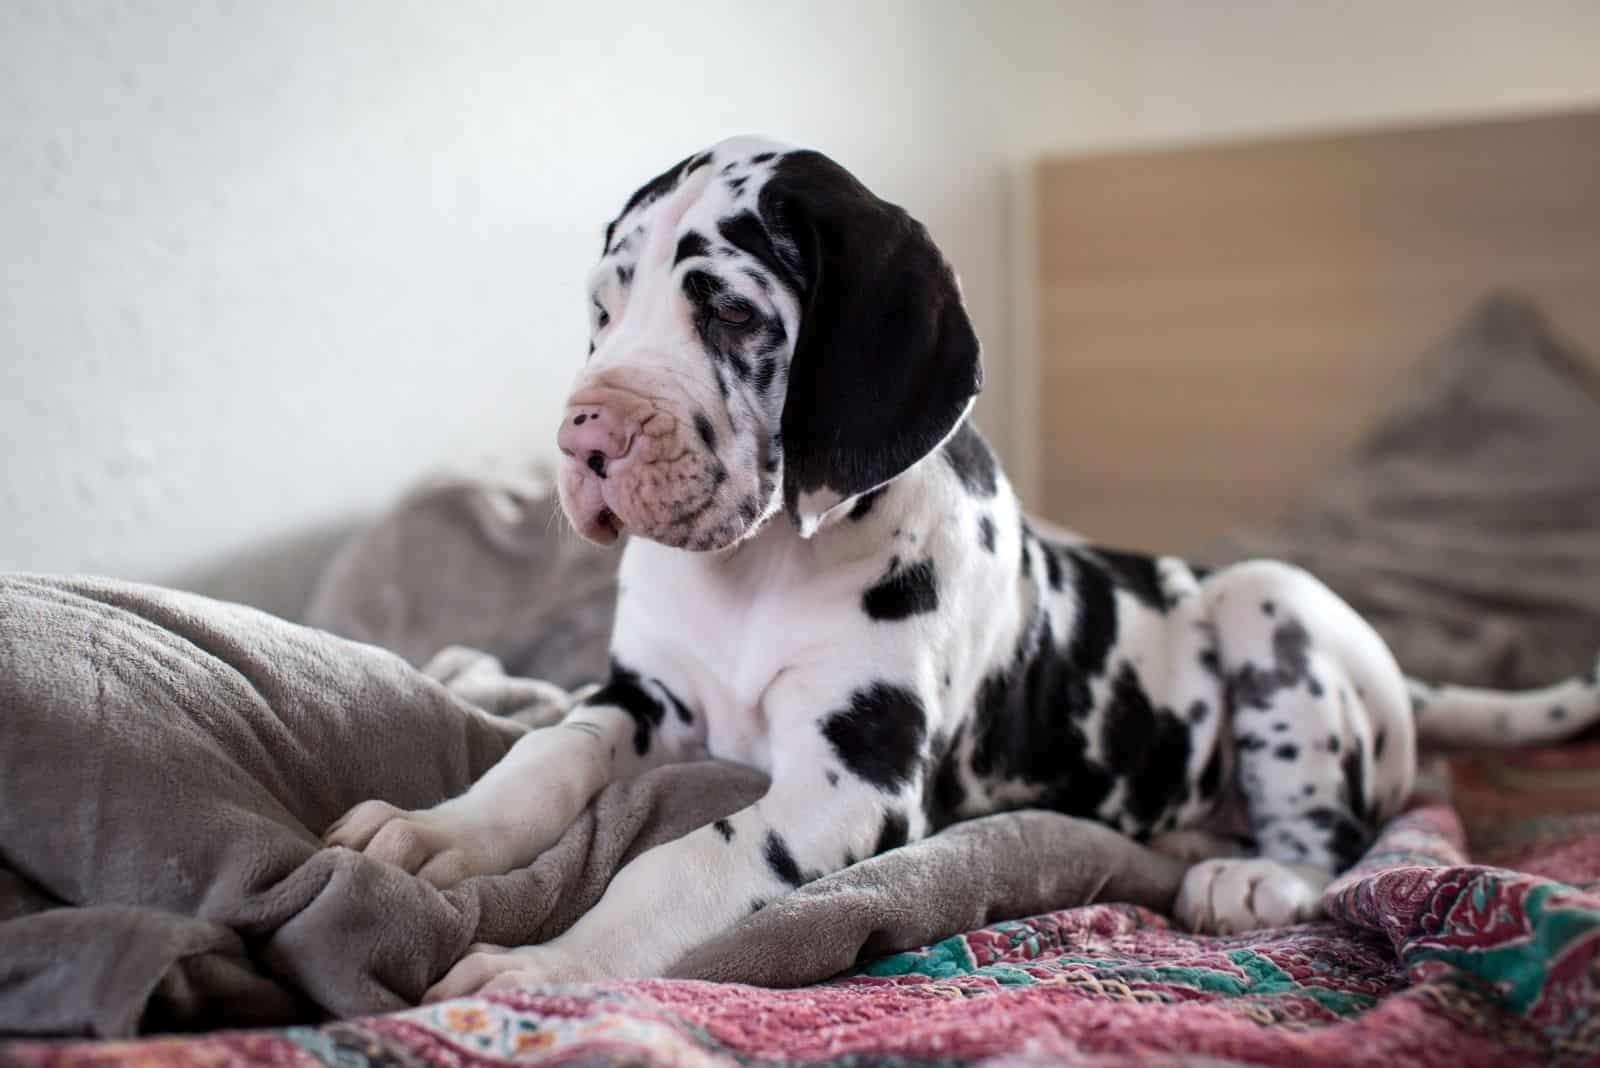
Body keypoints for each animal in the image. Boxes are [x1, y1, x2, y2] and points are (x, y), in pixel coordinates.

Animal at [321, 135, 1600, 1004]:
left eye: (727, 311)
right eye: (603, 309)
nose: (585, 436)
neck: (758, 568)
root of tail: (1400, 680)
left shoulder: (851, 784)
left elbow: (678, 864)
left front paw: (542, 969)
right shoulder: (644, 697)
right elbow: (545, 757)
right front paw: (436, 837)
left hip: (1268, 604)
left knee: (1342, 841)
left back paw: (1249, 876)